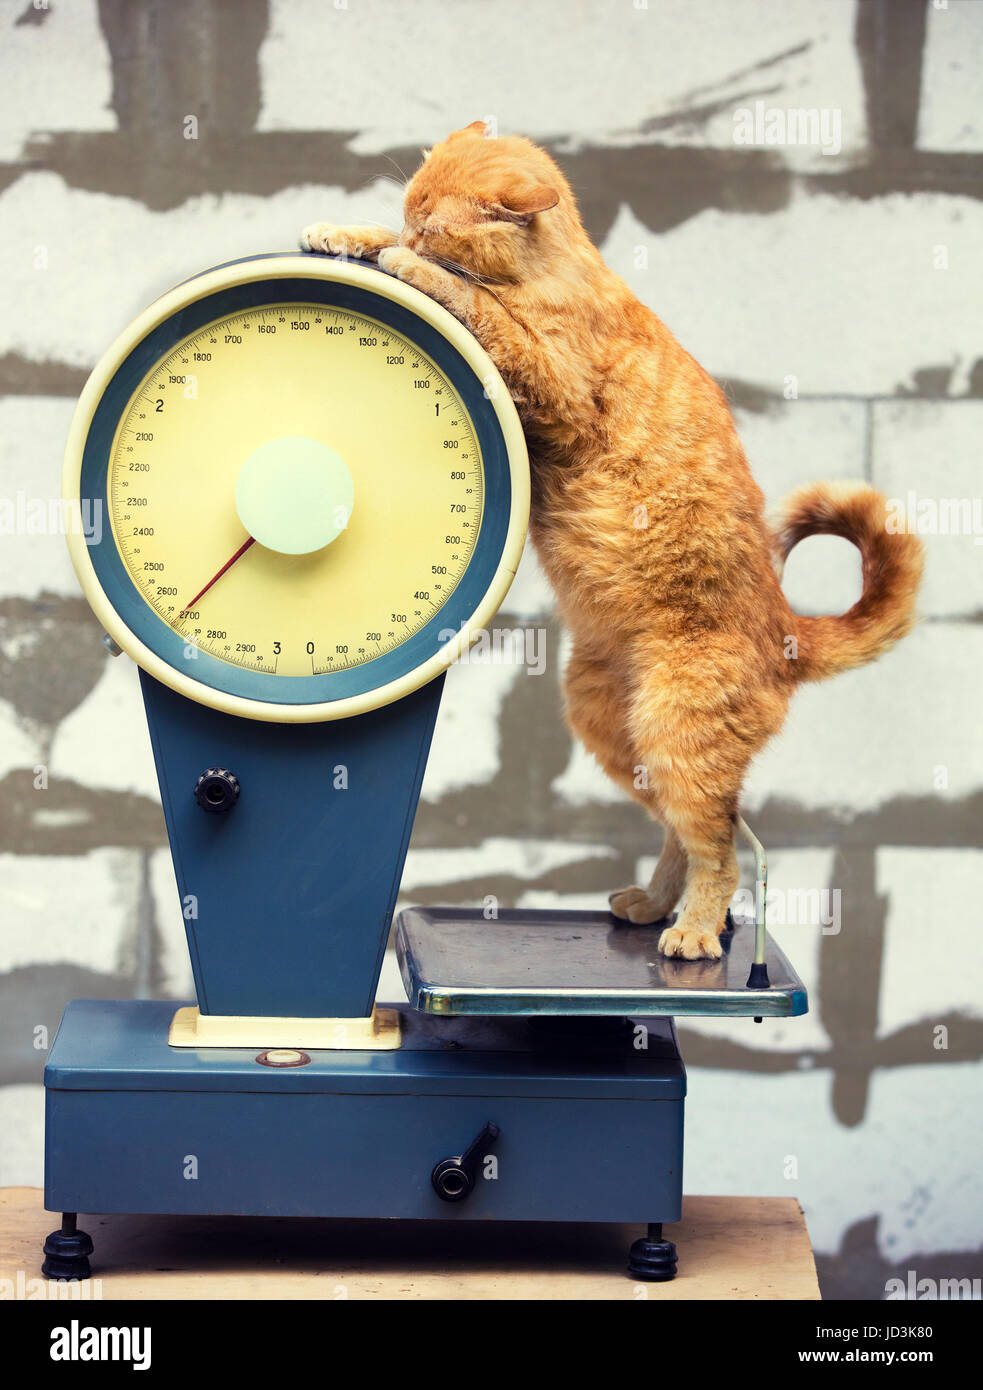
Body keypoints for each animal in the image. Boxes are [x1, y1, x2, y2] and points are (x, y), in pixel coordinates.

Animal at [300, 122, 923, 956]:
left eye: (434, 222)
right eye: (413, 207)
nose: (415, 232)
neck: (549, 270)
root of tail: (788, 631)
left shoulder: (549, 377)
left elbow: (473, 298)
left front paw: (410, 263)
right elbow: (429, 267)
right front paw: (349, 233)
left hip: (674, 735)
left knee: (722, 849)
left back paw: (693, 932)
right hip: (612, 731)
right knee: (694, 833)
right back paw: (656, 906)